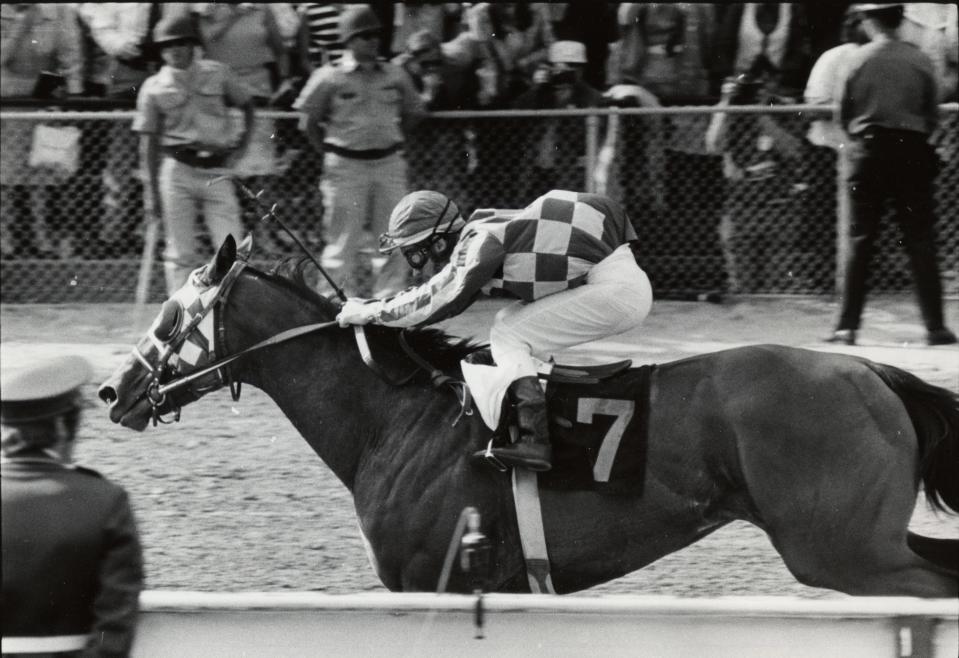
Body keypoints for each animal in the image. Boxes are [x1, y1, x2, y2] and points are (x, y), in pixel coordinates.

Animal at [99, 236, 959, 596]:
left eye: (171, 315)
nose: (114, 391)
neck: (395, 423)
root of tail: (869, 372)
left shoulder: (433, 581)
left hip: (840, 551)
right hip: (865, 541)